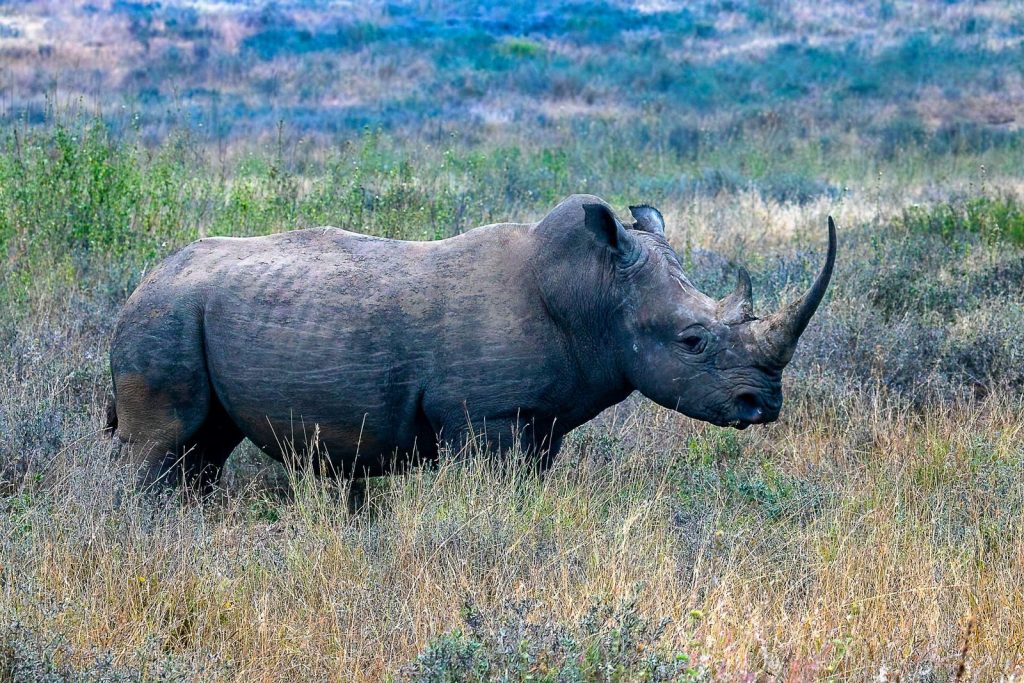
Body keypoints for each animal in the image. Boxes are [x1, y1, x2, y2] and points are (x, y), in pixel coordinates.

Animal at [106, 194, 836, 489]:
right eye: (692, 341)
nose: (763, 405)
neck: (597, 295)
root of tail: (141, 281)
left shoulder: (538, 421)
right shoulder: (488, 417)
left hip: (187, 308)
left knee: (205, 448)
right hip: (164, 314)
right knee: (163, 446)